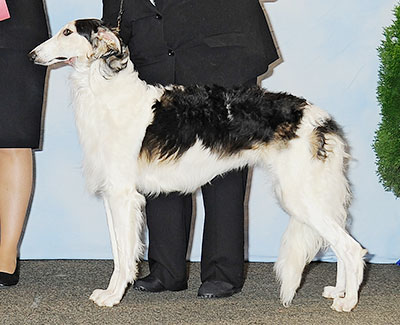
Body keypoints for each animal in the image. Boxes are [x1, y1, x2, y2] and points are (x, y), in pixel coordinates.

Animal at [28, 18, 366, 312]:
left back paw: (348, 302)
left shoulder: (123, 195)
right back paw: (339, 291)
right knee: (340, 243)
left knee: (352, 248)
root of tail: (322, 120)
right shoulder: (112, 195)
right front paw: (112, 292)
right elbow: (117, 251)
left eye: (67, 32)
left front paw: (112, 297)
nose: (32, 55)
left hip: (300, 195)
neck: (105, 92)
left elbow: (124, 256)